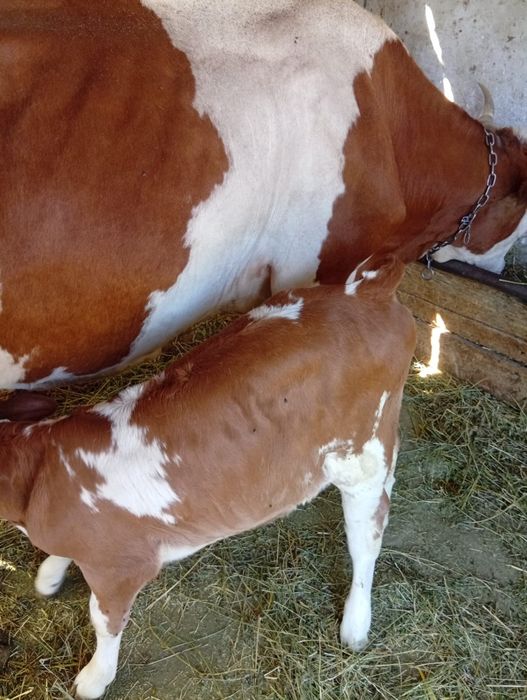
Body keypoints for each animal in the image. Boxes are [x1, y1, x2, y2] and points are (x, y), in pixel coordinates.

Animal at [0, 256, 415, 699]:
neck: (41, 468)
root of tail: (366, 288)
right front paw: (49, 575)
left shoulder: (121, 568)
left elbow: (103, 619)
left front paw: (95, 678)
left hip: (358, 456)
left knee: (366, 538)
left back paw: (355, 625)